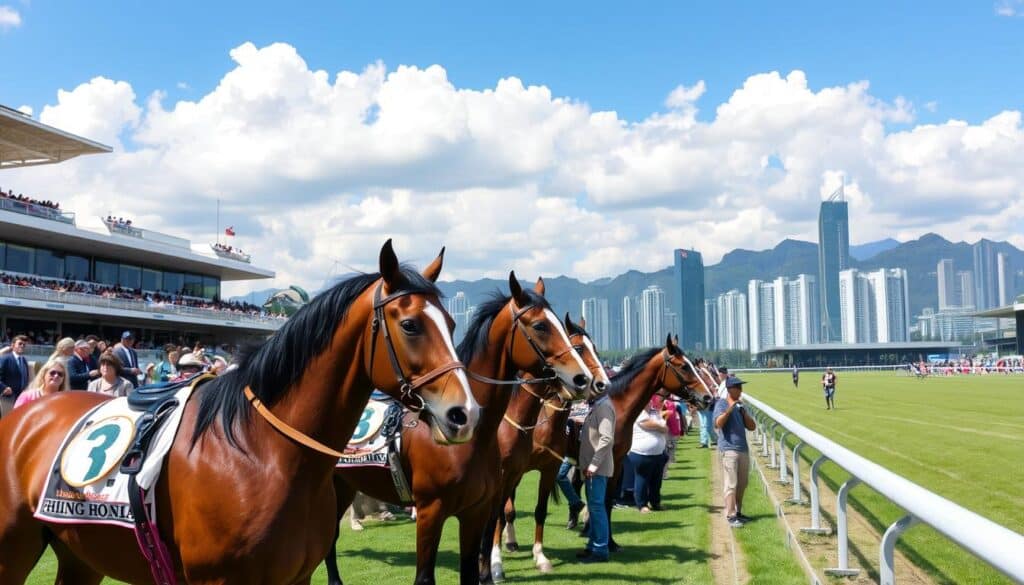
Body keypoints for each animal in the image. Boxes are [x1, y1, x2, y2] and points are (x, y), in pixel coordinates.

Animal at [0, 241, 479, 585]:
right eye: (410, 325)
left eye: (452, 324)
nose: (465, 413)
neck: (261, 452)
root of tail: (23, 418)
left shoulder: (296, 578)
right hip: (14, 552)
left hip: (80, 554)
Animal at [319, 274, 593, 585]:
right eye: (540, 326)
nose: (584, 379)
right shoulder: (431, 511)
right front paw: (496, 567)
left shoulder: (482, 504)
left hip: (344, 484)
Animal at [481, 315, 606, 581]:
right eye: (579, 348)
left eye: (595, 347)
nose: (602, 383)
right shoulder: (504, 473)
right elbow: (500, 513)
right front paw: (496, 563)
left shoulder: (549, 467)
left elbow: (539, 510)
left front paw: (540, 557)